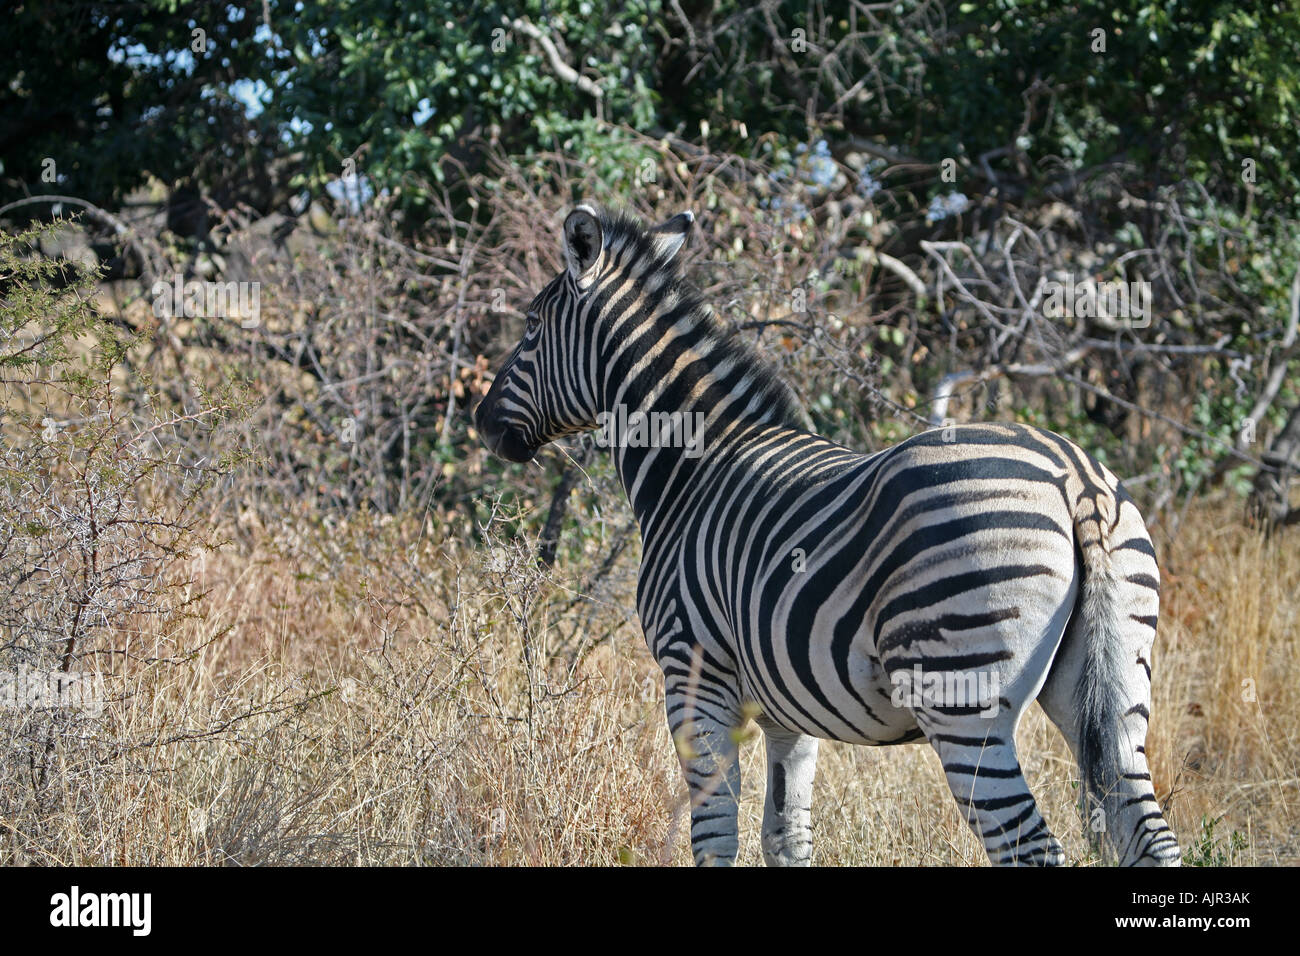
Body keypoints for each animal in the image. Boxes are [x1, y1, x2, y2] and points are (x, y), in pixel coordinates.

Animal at [473, 201, 1185, 868]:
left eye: (531, 327)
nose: (481, 424)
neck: (691, 470)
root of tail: (1076, 480)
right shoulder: (789, 713)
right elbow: (785, 837)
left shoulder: (693, 677)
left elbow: (715, 835)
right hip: (1117, 685)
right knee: (1148, 832)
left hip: (962, 696)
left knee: (1031, 846)